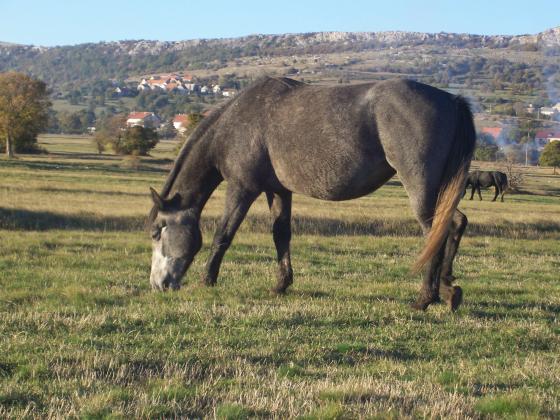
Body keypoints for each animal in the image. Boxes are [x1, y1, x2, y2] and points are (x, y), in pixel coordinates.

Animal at [147, 75, 474, 312]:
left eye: (157, 231)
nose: (158, 284)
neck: (236, 121)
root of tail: (452, 99)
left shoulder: (243, 188)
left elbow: (223, 235)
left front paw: (207, 280)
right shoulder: (278, 190)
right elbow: (281, 235)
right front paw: (281, 284)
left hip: (420, 188)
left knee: (436, 232)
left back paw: (425, 298)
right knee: (456, 223)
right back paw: (448, 288)